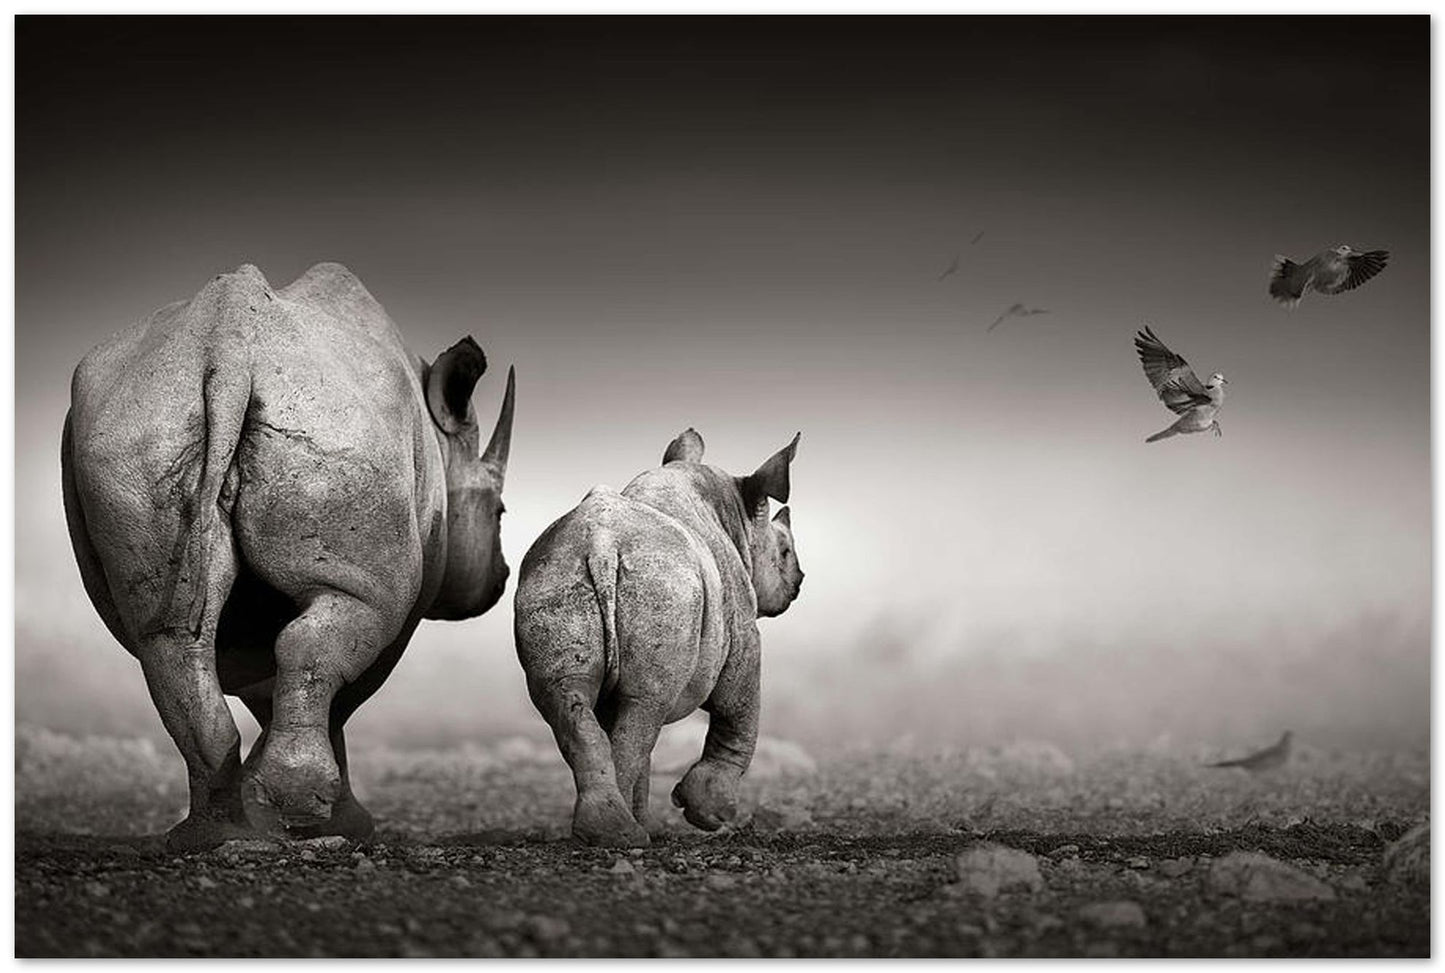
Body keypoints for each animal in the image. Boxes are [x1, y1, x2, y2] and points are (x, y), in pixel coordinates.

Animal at [61, 263, 515, 850]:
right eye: (499, 512)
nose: (501, 577)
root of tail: (228, 349)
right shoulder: (401, 589)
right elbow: (344, 689)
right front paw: (335, 821)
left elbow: (268, 684)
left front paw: (271, 803)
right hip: (331, 426)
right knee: (331, 626)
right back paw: (290, 813)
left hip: (137, 431)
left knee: (166, 640)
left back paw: (209, 835)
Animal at [515, 428, 803, 847]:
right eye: (783, 551)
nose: (798, 581)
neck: (737, 518)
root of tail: (601, 546)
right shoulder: (743, 633)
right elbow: (738, 712)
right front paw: (711, 813)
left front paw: (650, 821)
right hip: (664, 585)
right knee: (644, 707)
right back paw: (623, 836)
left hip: (554, 575)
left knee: (573, 700)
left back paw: (613, 832)